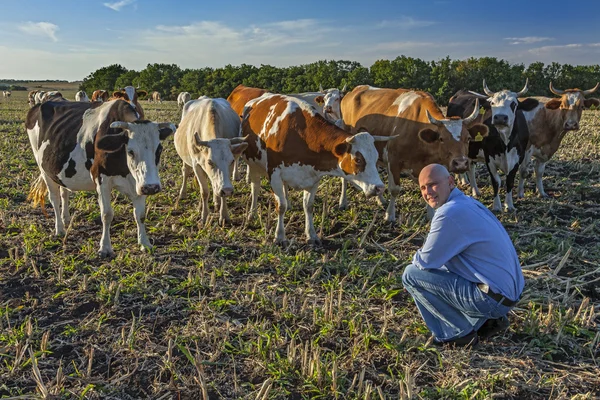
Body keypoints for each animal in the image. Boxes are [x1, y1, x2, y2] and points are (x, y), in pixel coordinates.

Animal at [26, 98, 176, 258]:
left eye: (159, 150)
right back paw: (59, 229)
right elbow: (106, 214)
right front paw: (105, 247)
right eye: (130, 151)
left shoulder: (139, 183)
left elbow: (140, 214)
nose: (152, 187)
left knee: (64, 192)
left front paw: (144, 243)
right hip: (44, 169)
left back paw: (66, 219)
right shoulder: (101, 179)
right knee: (54, 198)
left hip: (59, 171)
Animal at [173, 97, 248, 225]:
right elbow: (204, 191)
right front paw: (204, 216)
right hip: (186, 160)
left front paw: (224, 215)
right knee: (186, 172)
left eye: (232, 161)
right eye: (210, 162)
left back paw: (216, 201)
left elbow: (221, 190)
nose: (228, 190)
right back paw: (183, 194)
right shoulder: (197, 165)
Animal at [241, 94, 392, 245]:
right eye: (358, 160)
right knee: (255, 187)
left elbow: (308, 206)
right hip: (252, 164)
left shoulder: (313, 178)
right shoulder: (275, 174)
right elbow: (281, 206)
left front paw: (311, 235)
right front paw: (279, 236)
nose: (379, 187)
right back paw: (252, 214)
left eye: (376, 158)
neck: (302, 136)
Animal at [340, 85, 490, 222]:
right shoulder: (394, 160)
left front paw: (431, 215)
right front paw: (390, 215)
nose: (461, 163)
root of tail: (354, 90)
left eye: (468, 138)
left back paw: (380, 200)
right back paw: (343, 202)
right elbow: (394, 189)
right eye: (441, 138)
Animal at [446, 81, 540, 212]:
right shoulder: (489, 157)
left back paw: (474, 190)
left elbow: (510, 182)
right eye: (492, 103)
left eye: (514, 104)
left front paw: (509, 205)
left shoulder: (518, 158)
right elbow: (496, 182)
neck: (505, 143)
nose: (500, 117)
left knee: (471, 168)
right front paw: (496, 206)